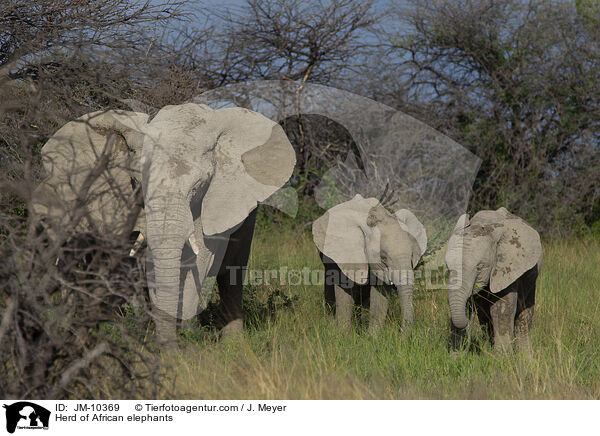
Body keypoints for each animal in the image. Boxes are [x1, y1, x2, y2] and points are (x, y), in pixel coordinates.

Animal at [32, 103, 296, 344]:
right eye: (136, 181)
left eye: (199, 184)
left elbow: (201, 258)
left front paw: (188, 342)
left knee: (232, 272)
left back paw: (233, 343)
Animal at [314, 194, 426, 334]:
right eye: (383, 257)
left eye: (412, 256)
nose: (401, 333)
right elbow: (345, 289)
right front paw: (343, 335)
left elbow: (380, 293)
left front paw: (372, 337)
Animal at [446, 206, 544, 352]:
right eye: (448, 267)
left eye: (480, 267)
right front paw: (456, 356)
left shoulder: (506, 269)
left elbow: (501, 310)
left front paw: (502, 356)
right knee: (484, 317)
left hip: (531, 277)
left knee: (523, 315)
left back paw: (524, 356)